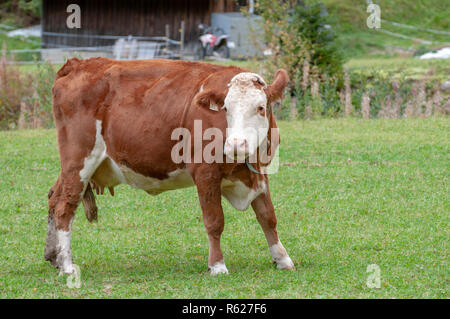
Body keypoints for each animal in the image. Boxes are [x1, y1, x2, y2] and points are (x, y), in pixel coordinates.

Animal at [44, 57, 294, 276]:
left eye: (260, 107)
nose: (236, 145)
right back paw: (67, 265)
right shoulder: (205, 172)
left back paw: (54, 256)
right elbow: (214, 221)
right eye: (226, 109)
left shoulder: (259, 174)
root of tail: (79, 63)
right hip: (78, 161)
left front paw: (282, 258)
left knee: (54, 197)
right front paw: (217, 266)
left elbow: (268, 217)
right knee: (64, 207)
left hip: (74, 168)